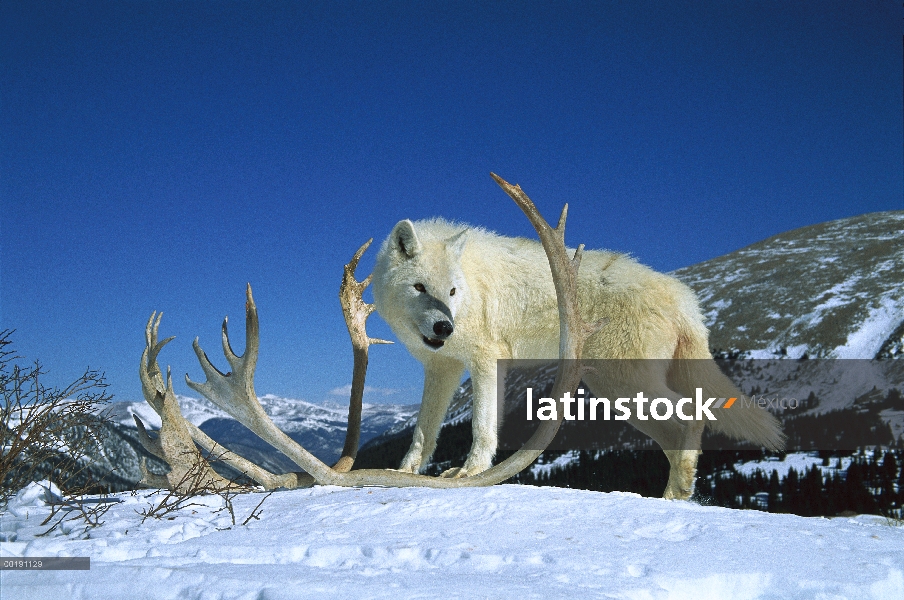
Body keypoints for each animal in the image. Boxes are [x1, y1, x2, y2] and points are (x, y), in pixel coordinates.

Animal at [370, 218, 780, 500]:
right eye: (420, 287)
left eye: (452, 291)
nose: (444, 327)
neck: (472, 286)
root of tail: (684, 299)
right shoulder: (442, 368)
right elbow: (423, 433)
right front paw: (403, 473)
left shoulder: (488, 360)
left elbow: (482, 428)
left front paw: (469, 473)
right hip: (622, 396)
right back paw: (675, 495)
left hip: (624, 388)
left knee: (693, 415)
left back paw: (673, 496)